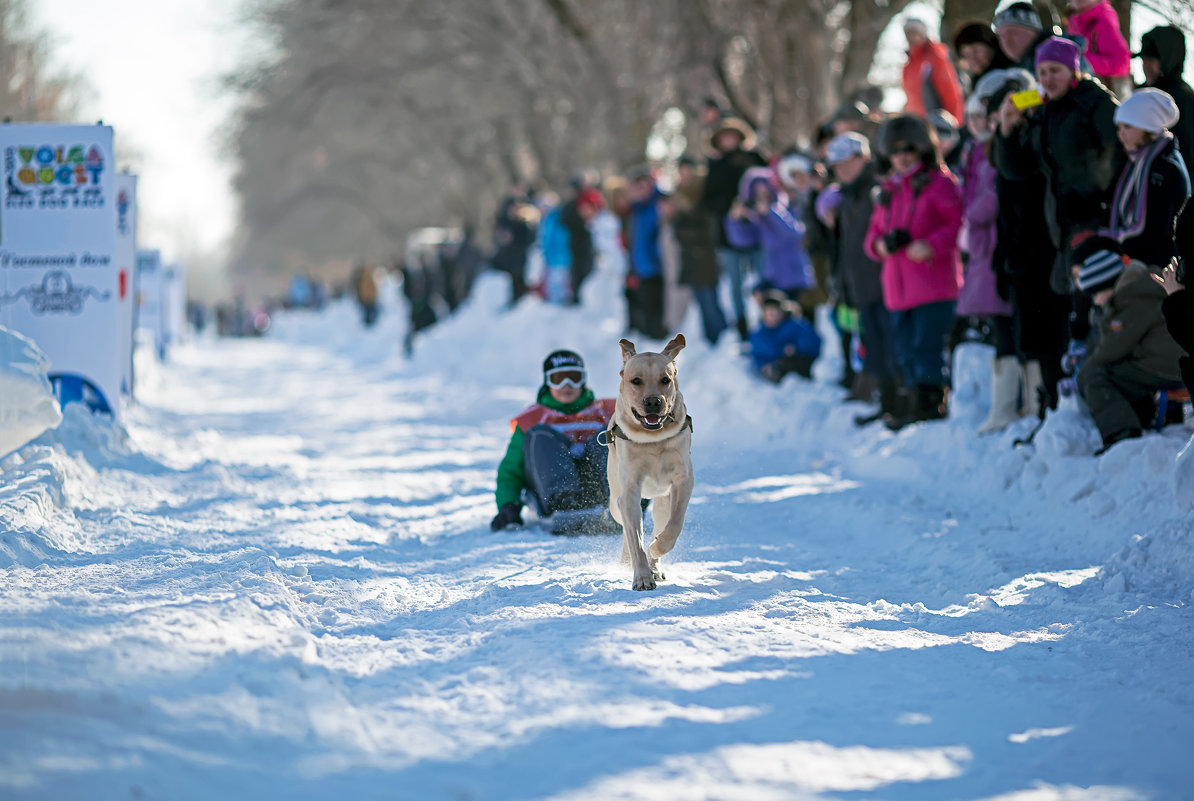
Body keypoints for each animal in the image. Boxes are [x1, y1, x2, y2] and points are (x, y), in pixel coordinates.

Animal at [606, 334, 692, 592]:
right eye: (636, 381)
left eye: (666, 379)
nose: (653, 401)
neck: (653, 439)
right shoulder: (629, 493)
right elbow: (635, 540)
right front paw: (642, 577)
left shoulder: (684, 480)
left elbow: (674, 525)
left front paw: (656, 548)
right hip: (615, 502)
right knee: (627, 530)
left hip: (662, 502)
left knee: (661, 522)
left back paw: (655, 564)